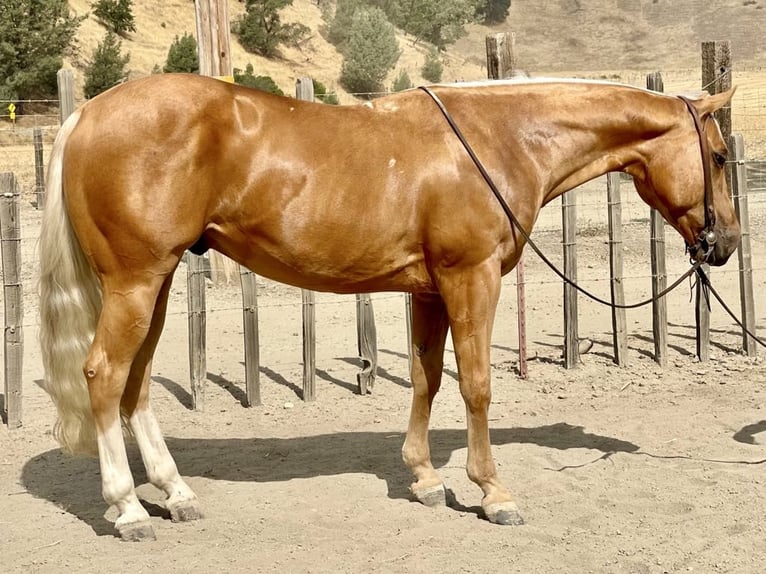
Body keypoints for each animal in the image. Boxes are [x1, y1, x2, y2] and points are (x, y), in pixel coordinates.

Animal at [38, 74, 739, 540]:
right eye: (721, 155)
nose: (727, 242)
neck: (499, 138)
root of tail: (89, 113)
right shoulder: (470, 278)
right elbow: (476, 384)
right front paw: (493, 492)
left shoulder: (429, 289)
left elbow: (427, 379)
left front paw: (426, 479)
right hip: (135, 282)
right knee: (104, 376)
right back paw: (129, 508)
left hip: (154, 286)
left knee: (136, 385)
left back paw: (175, 493)